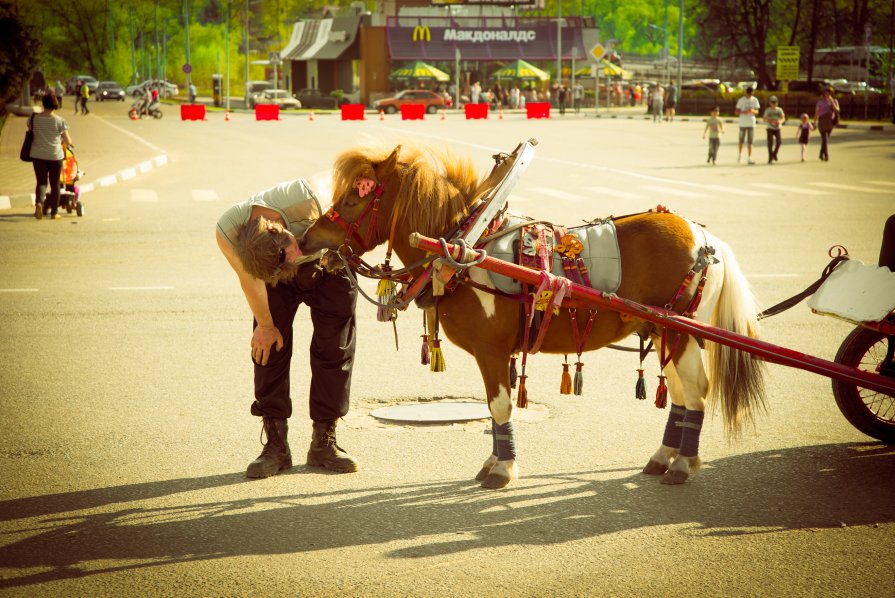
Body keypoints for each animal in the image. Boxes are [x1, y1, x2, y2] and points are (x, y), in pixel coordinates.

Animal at [302, 143, 768, 490]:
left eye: (354, 197)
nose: (307, 238)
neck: (463, 245)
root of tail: (705, 236)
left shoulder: (490, 350)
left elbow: (500, 406)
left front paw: (503, 469)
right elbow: (494, 410)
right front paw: (494, 462)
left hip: (683, 333)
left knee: (698, 392)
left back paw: (683, 463)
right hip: (662, 331)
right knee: (681, 392)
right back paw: (663, 457)